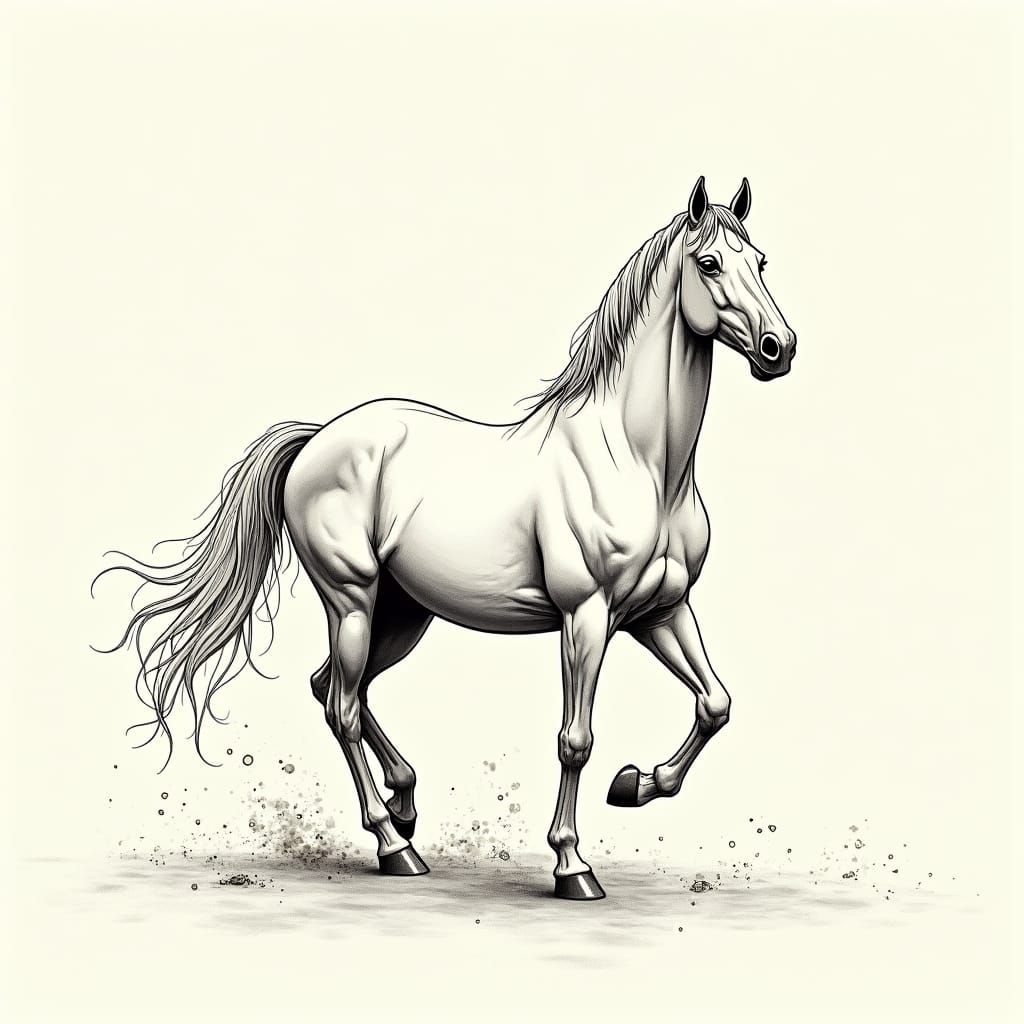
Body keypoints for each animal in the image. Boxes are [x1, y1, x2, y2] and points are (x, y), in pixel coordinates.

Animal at [97, 176, 797, 900]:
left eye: (761, 262)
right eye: (709, 264)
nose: (780, 348)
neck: (638, 462)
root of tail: (316, 441)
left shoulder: (661, 609)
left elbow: (716, 703)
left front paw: (635, 785)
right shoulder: (587, 616)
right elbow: (575, 739)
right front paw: (572, 866)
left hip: (402, 614)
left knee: (332, 688)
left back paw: (405, 805)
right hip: (351, 601)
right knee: (341, 706)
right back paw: (393, 843)